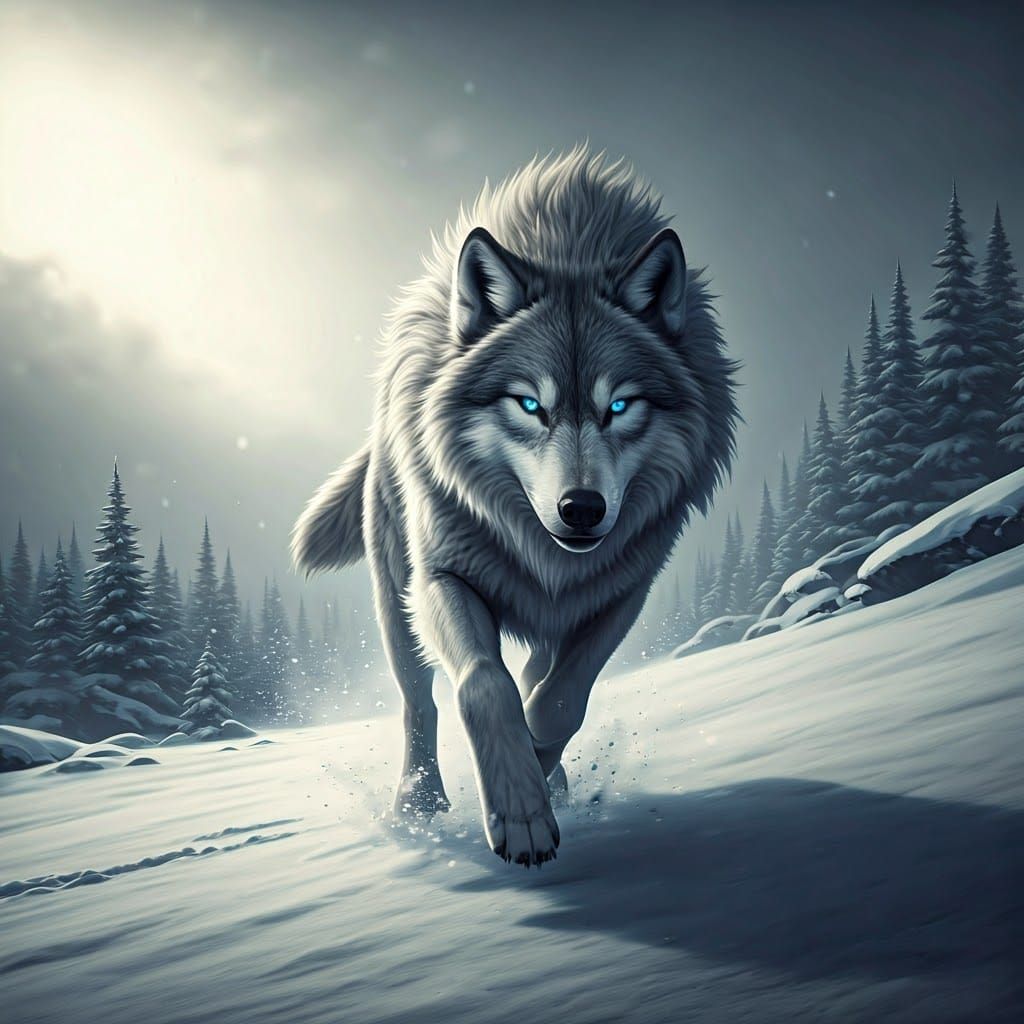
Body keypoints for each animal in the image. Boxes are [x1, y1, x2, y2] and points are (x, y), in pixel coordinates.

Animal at [293, 148, 738, 867]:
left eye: (619, 405)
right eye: (530, 404)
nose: (581, 509)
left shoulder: (622, 592)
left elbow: (560, 702)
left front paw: (540, 769)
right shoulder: (443, 577)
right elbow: (483, 682)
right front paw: (521, 814)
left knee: (534, 673)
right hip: (396, 593)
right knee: (418, 702)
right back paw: (419, 802)